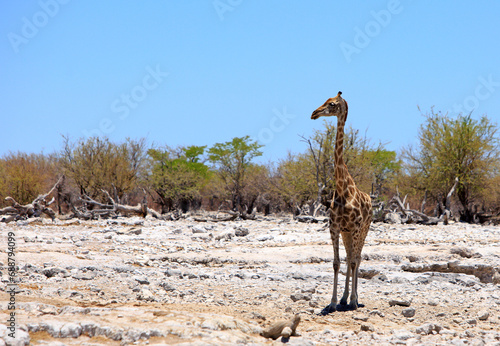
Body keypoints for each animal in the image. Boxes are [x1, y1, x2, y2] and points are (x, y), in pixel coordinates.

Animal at [310, 91, 374, 314]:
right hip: (347, 233)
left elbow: (354, 262)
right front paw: (333, 302)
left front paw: (353, 301)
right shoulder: (335, 227)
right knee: (349, 258)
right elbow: (337, 263)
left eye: (332, 104)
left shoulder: (355, 228)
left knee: (357, 258)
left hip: (364, 229)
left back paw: (354, 298)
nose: (314, 113)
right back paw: (345, 298)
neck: (343, 189)